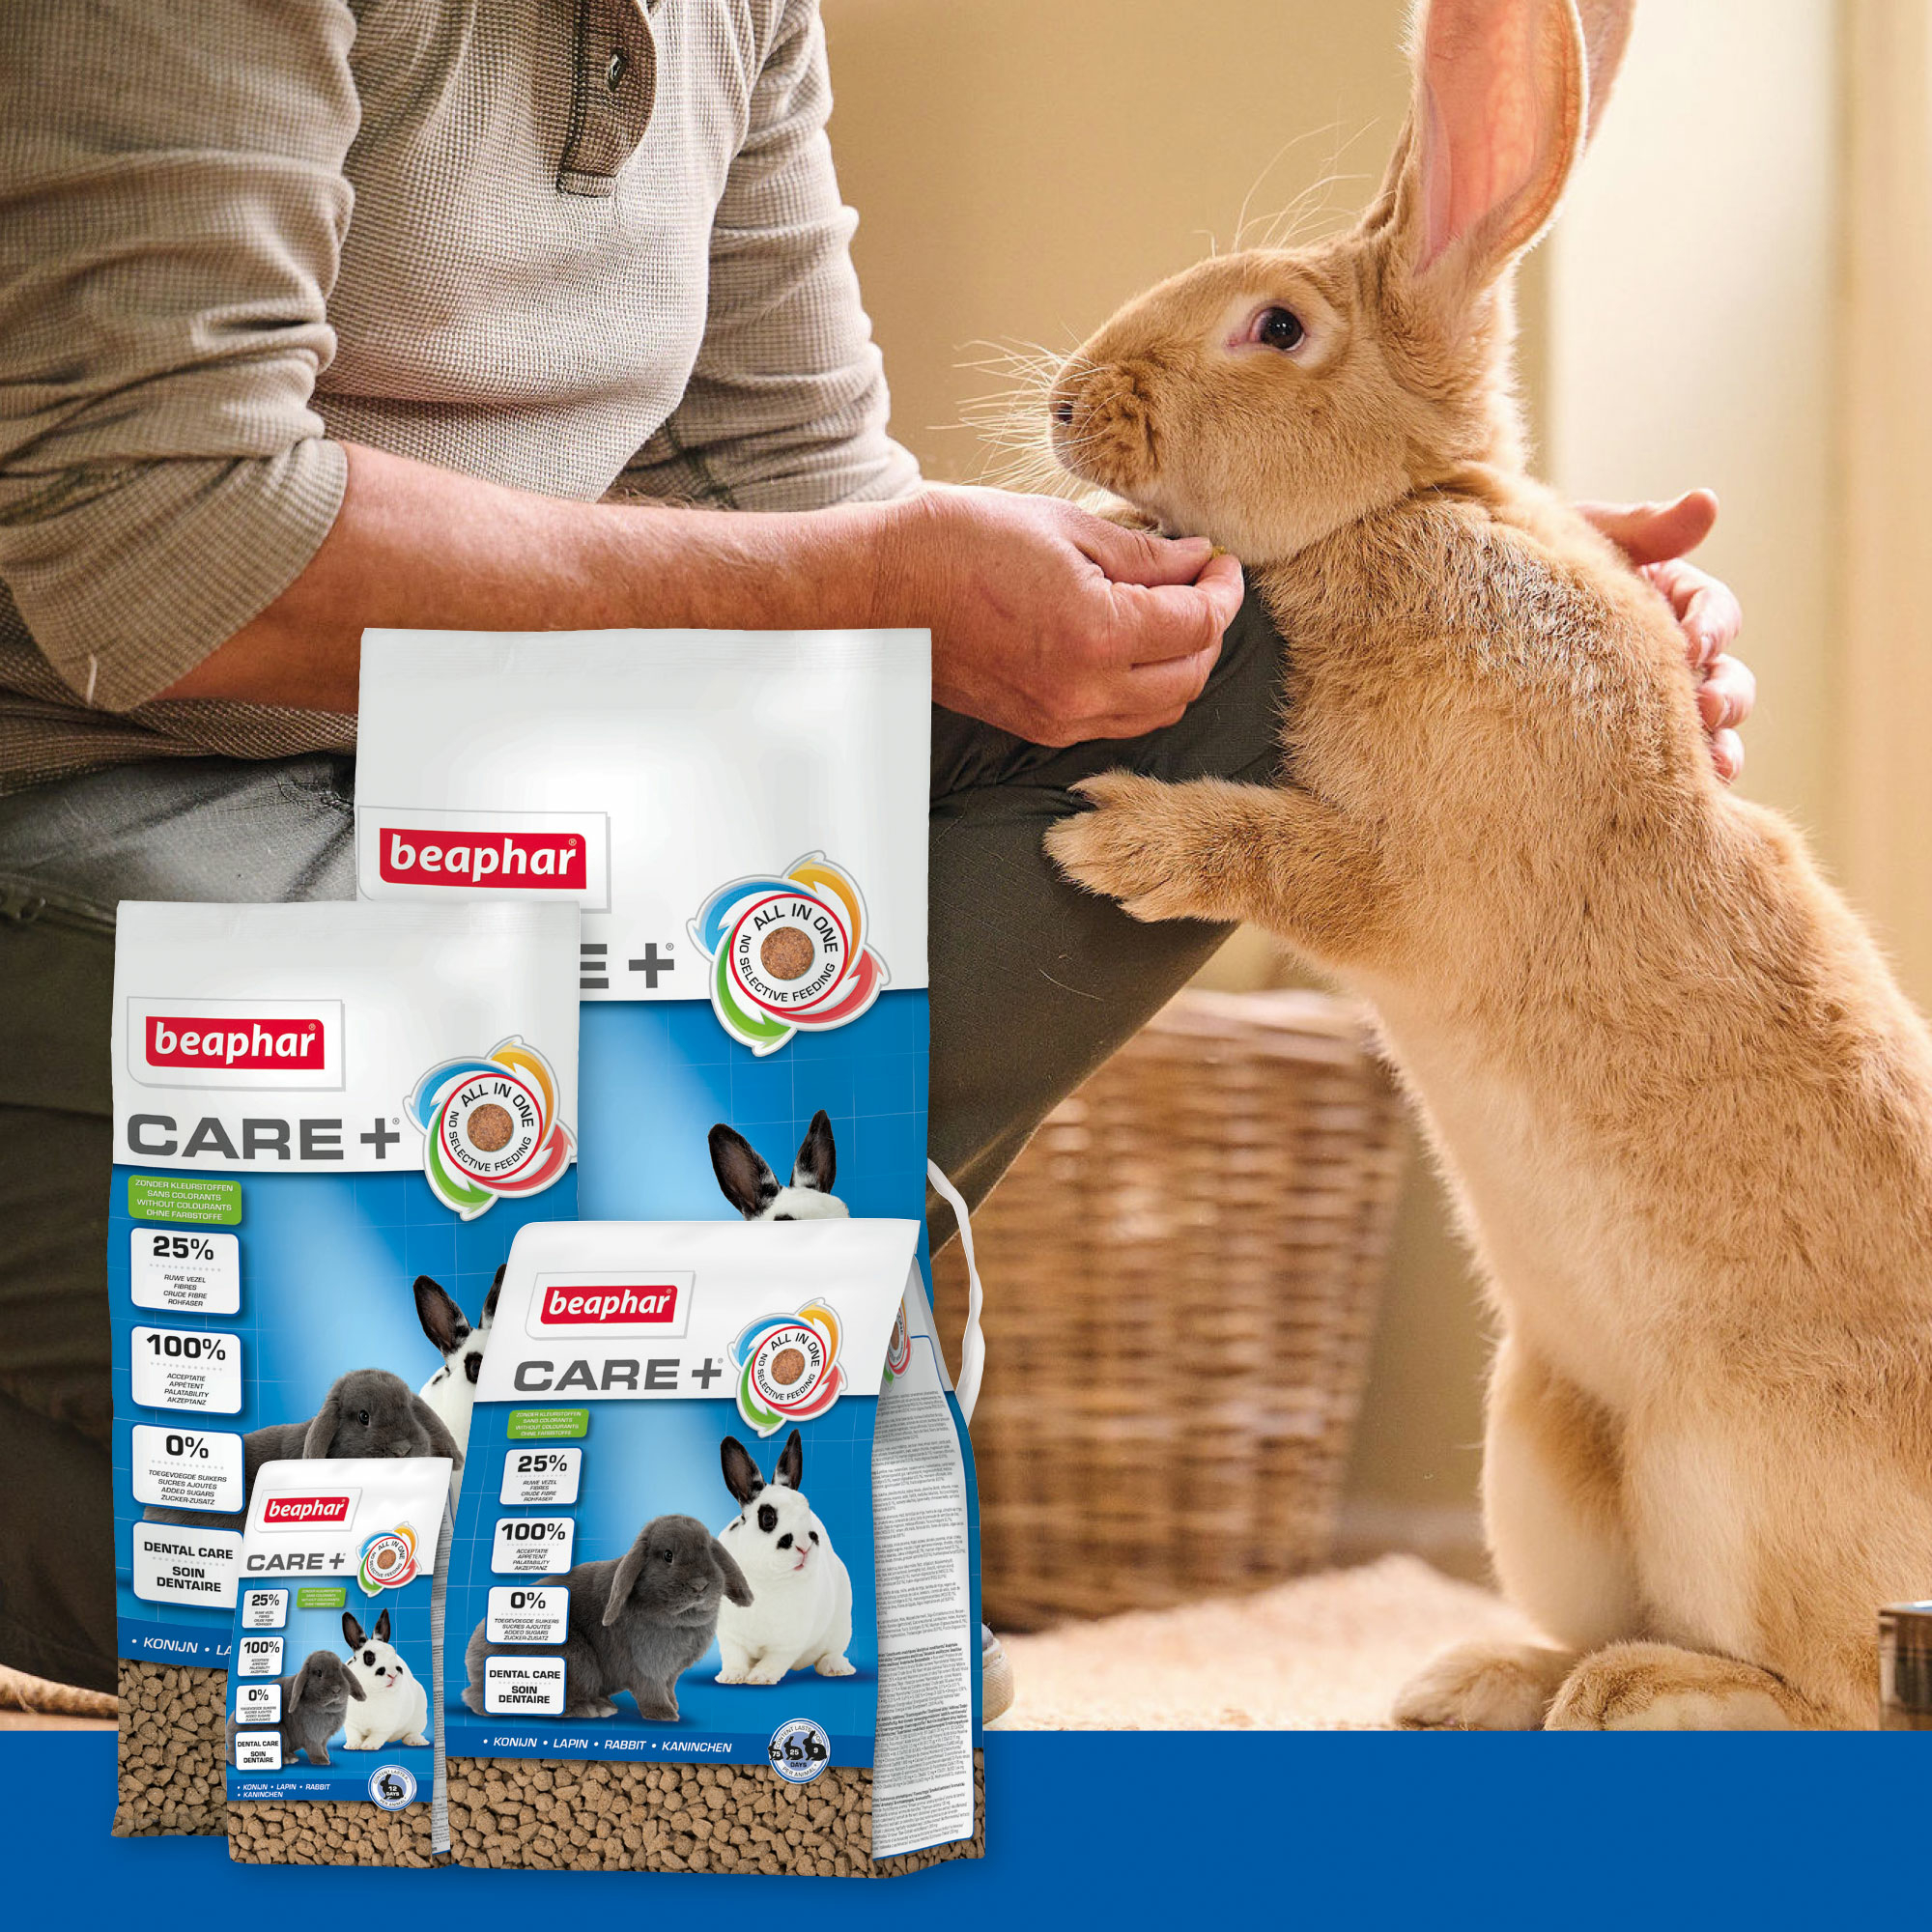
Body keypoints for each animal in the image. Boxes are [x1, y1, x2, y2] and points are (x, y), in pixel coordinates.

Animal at [225, 1648, 365, 1768]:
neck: (326, 1710)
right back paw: (288, 1759)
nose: (336, 1689)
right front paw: (322, 1761)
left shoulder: (324, 1738)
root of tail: (230, 1741)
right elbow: (314, 1748)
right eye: (319, 1673)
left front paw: (327, 1756)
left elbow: (323, 1746)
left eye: (340, 1670)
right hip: (276, 1731)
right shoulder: (311, 1735)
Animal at [340, 1607, 429, 1750]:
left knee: (413, 1732)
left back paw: (416, 1741)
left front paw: (369, 1746)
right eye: (369, 1658)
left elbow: (377, 1736)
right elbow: (353, 1734)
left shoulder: (385, 1725)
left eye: (394, 1654)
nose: (393, 1674)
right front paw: (352, 1745)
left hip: (419, 1717)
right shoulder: (350, 1723)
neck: (370, 1692)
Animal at [462, 1514, 752, 1722]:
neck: (679, 1620)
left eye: (709, 1552)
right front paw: (665, 1715)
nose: (700, 1586)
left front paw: (675, 1706)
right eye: (668, 1555)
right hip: (573, 1662)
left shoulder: (671, 1673)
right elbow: (651, 1692)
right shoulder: (646, 1669)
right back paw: (594, 1709)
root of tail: (474, 1667)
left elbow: (669, 1688)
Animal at [714, 1430, 854, 1684]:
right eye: (768, 1518)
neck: (767, 1581)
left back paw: (836, 1668)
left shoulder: (789, 1642)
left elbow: (775, 1660)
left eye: (806, 1512)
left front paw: (760, 1677)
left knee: (832, 1651)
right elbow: (734, 1656)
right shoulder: (729, 1635)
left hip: (841, 1625)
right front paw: (731, 1676)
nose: (804, 1546)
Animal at [1043, 0, 1932, 1731]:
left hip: (1750, 1485)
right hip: (1543, 1448)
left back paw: (1633, 1700)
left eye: (1276, 328)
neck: (1403, 511)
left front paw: (1117, 840)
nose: (1065, 401)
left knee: (1832, 1699)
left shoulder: (1410, 887)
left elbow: (1284, 856)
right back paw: (1478, 1679)